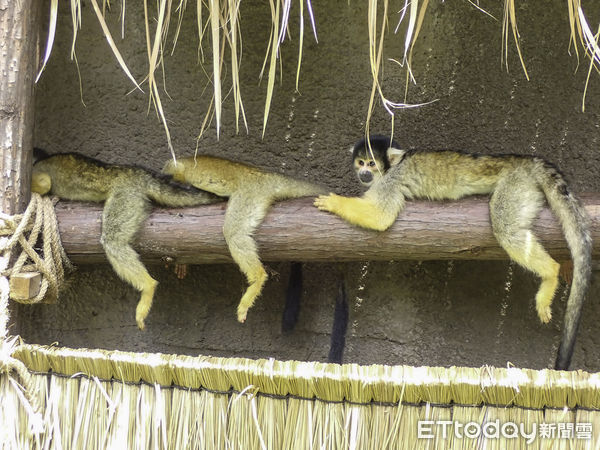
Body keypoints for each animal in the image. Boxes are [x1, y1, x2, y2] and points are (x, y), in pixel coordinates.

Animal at [31, 149, 223, 328]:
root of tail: (137, 173)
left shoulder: (38, 169)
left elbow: (44, 183)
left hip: (127, 195)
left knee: (112, 241)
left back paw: (148, 287)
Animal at [162, 155, 326, 324]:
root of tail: (267, 175)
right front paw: (182, 264)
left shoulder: (173, 169)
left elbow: (177, 170)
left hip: (250, 194)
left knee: (234, 233)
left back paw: (257, 279)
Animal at [316, 134, 592, 370]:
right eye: (360, 162)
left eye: (372, 163)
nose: (364, 172)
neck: (391, 168)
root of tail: (526, 160)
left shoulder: (390, 182)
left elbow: (380, 217)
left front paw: (334, 201)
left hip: (516, 185)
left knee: (505, 226)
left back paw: (551, 273)